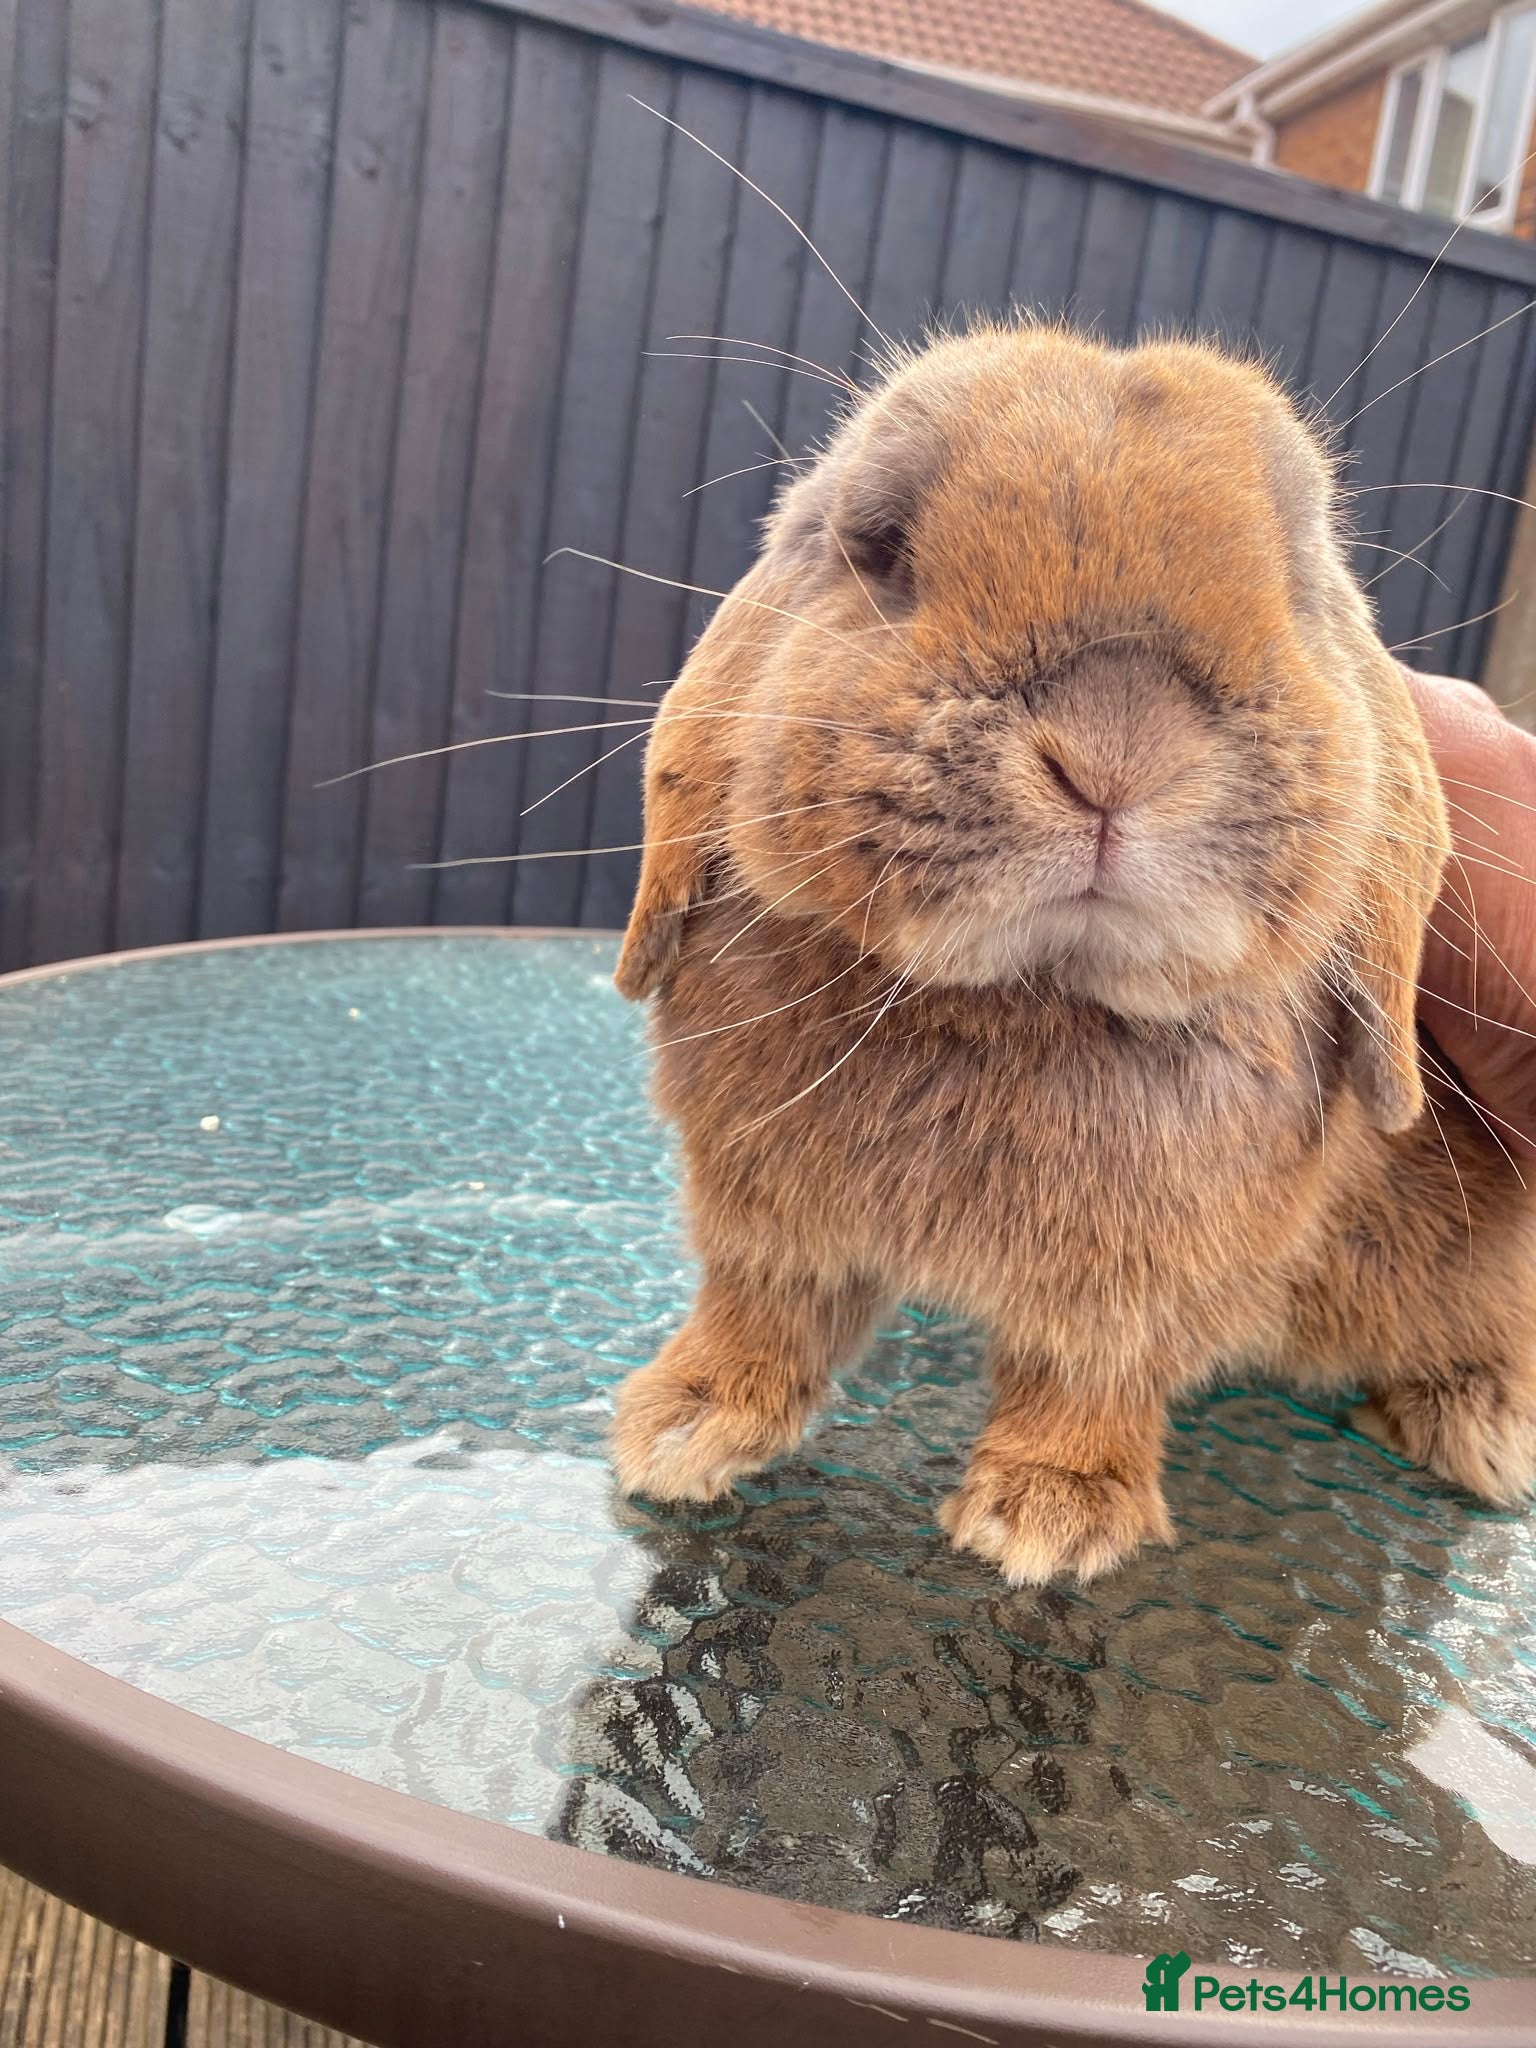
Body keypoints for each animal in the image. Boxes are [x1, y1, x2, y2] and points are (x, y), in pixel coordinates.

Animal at [606, 322, 1536, 1585]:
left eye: (1301, 581)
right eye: (879, 543)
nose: (1115, 748)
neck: (1027, 994)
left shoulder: (1145, 1285)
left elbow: (1093, 1374)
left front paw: (1048, 1517)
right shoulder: (763, 1217)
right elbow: (762, 1305)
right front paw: (684, 1427)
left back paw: (1482, 1423)